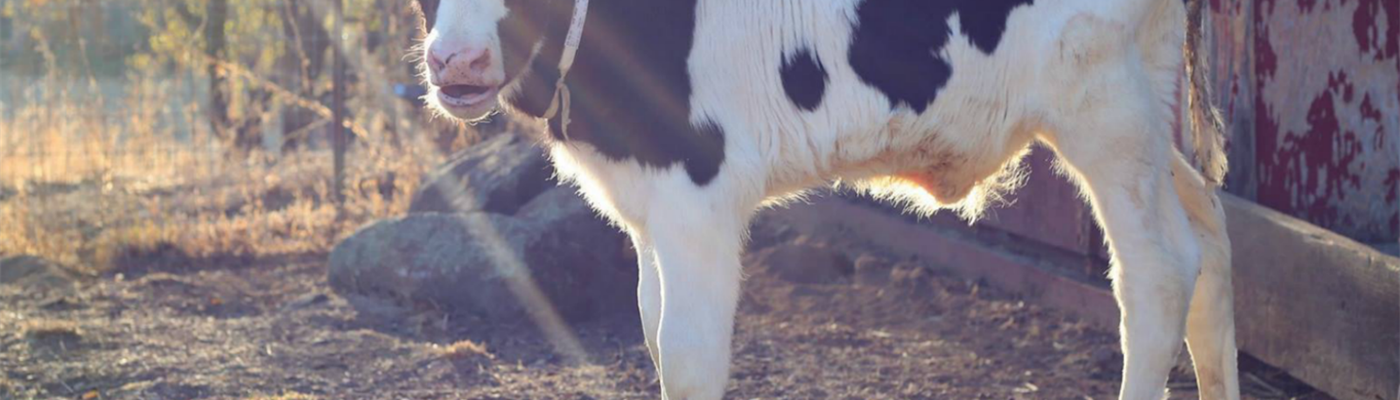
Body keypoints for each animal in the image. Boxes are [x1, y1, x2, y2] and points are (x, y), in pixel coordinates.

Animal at [411, 0, 1238, 399]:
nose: (456, 61)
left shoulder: (700, 195)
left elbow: (687, 356)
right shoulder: (649, 198)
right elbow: (650, 331)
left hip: (1104, 111)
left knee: (1159, 270)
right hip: (1146, 114)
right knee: (1210, 233)